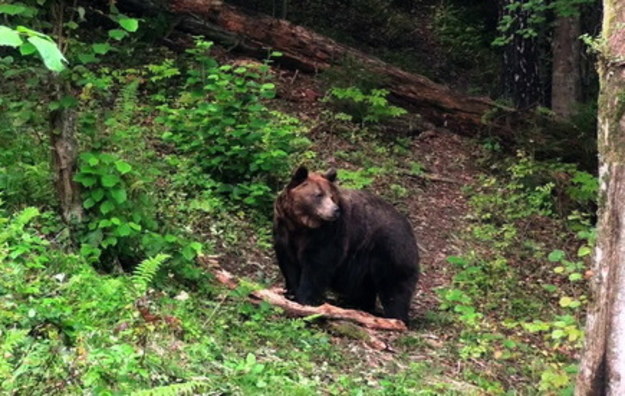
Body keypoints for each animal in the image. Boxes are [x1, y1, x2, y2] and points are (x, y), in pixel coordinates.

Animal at [272, 166, 420, 324]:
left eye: (331, 196)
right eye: (318, 195)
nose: (335, 210)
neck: (301, 225)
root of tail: (408, 225)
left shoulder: (327, 236)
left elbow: (317, 267)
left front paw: (305, 299)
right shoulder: (285, 233)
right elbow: (289, 265)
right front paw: (291, 293)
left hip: (390, 249)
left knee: (394, 287)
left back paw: (396, 317)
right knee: (365, 287)